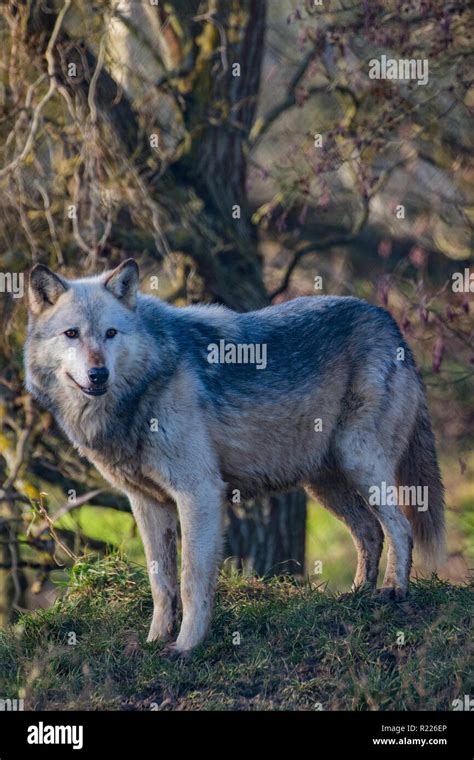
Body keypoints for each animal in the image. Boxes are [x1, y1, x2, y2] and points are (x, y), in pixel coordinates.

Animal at [23, 260, 444, 652]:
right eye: (72, 334)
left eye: (111, 333)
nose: (99, 374)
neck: (146, 383)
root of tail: (389, 322)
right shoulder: (146, 502)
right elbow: (161, 582)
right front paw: (155, 641)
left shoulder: (199, 493)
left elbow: (191, 580)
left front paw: (186, 647)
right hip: (324, 484)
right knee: (370, 531)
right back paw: (356, 595)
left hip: (359, 463)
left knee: (400, 527)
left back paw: (393, 591)